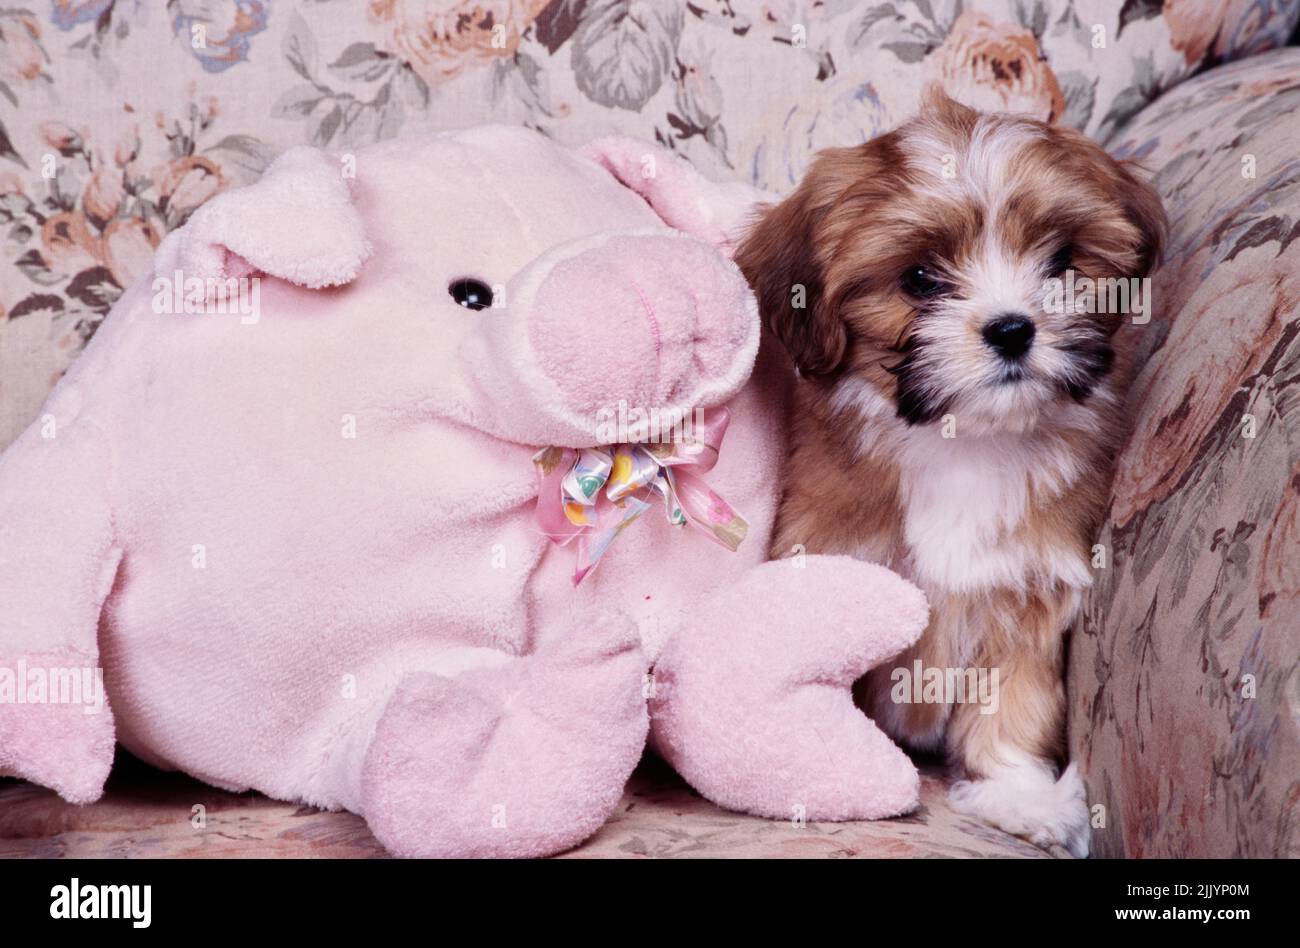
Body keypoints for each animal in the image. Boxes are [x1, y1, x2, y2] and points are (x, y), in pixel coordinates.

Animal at [743, 90, 1170, 858]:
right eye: (919, 278)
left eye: (1060, 261)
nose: (1012, 328)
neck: (963, 441)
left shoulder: (1027, 589)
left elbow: (1014, 702)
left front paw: (1020, 797)